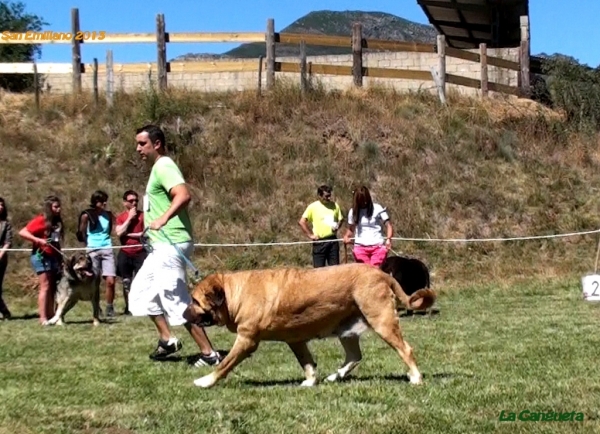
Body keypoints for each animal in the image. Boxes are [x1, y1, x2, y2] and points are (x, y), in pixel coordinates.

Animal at [183, 262, 436, 388]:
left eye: (194, 301)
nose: (183, 315)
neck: (235, 293)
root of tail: (383, 274)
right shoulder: (295, 341)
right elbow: (307, 363)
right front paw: (310, 381)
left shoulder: (246, 340)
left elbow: (224, 364)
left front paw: (205, 381)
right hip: (347, 331)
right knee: (355, 356)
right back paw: (335, 376)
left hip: (382, 321)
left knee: (405, 349)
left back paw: (415, 377)